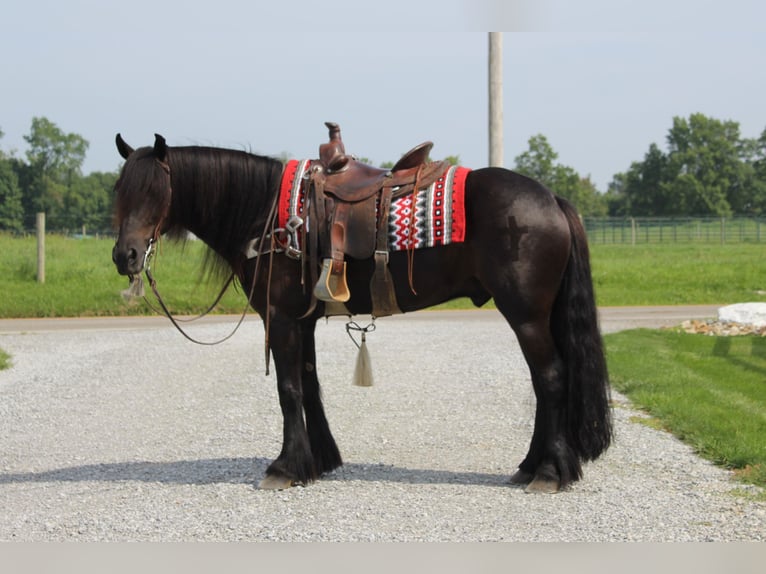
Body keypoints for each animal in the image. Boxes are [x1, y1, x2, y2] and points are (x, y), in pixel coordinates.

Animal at [111, 130, 612, 496]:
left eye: (157, 191)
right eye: (119, 190)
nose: (125, 256)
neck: (266, 212)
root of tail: (551, 200)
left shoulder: (282, 319)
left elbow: (288, 390)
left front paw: (284, 467)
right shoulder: (302, 321)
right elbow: (309, 385)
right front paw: (319, 460)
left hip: (526, 315)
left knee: (551, 379)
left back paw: (549, 472)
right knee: (545, 384)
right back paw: (531, 465)